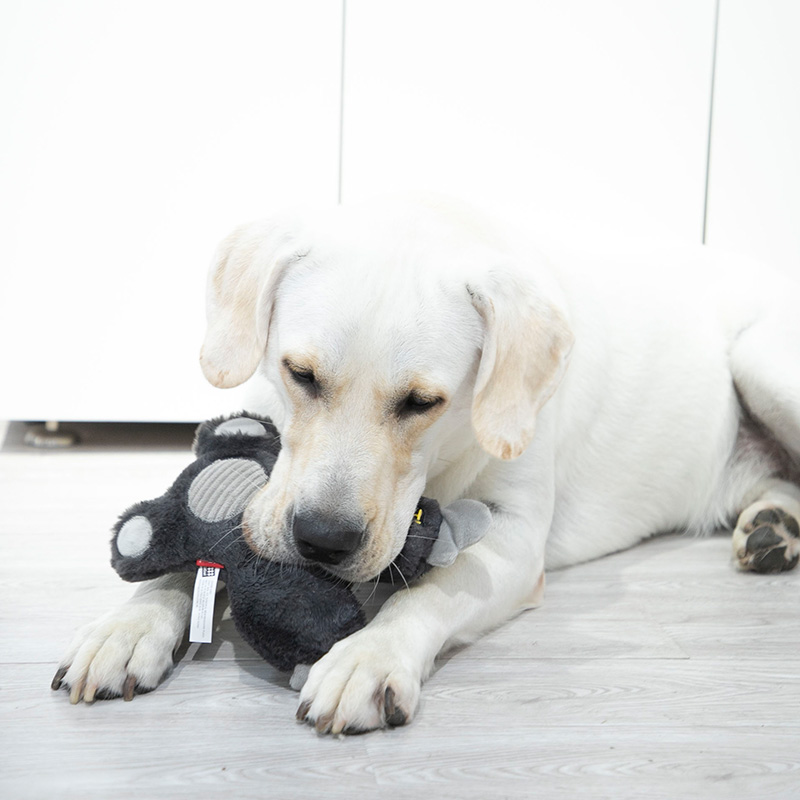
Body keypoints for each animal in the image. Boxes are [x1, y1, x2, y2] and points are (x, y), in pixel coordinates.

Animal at [54, 194, 800, 733]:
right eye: (300, 373)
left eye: (422, 402)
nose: (321, 539)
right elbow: (192, 550)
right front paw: (129, 623)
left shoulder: (516, 540)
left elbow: (435, 587)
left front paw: (367, 657)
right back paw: (772, 529)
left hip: (761, 361)